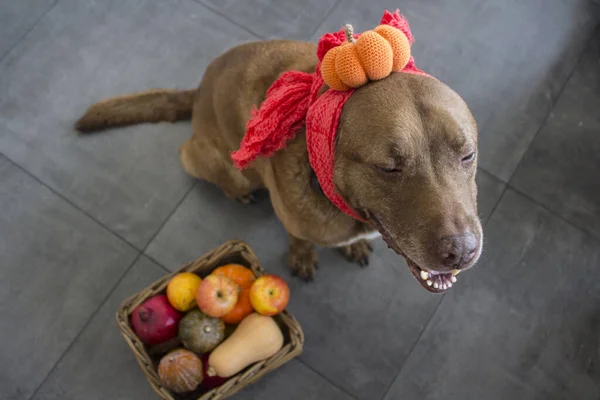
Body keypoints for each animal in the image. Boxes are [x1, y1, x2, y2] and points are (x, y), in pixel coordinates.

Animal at [75, 39, 482, 292]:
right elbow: (299, 239)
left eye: (467, 155)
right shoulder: (294, 219)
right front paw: (302, 256)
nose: (462, 252)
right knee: (196, 160)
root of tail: (197, 90)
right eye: (388, 168)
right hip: (219, 164)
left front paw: (351, 248)